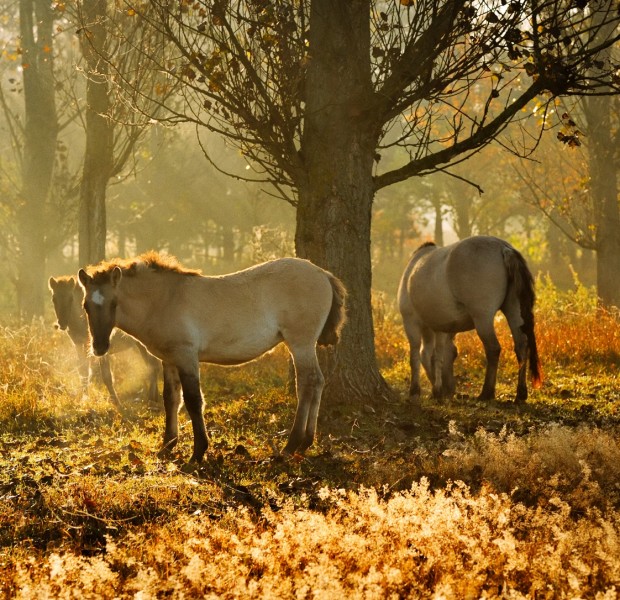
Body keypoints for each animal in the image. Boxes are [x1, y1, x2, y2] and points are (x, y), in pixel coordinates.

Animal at [49, 276, 160, 408]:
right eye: (54, 299)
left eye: (71, 299)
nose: (62, 324)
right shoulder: (79, 345)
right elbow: (84, 372)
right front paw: (84, 399)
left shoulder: (101, 349)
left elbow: (106, 376)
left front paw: (117, 403)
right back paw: (155, 398)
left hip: (141, 345)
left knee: (153, 366)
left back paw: (151, 400)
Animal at [75, 251, 346, 466]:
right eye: (86, 305)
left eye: (114, 303)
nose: (99, 347)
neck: (165, 300)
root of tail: (322, 273)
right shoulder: (169, 360)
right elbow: (171, 399)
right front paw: (167, 446)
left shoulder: (186, 356)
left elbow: (194, 401)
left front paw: (197, 453)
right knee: (317, 381)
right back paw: (306, 442)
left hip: (300, 343)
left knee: (308, 383)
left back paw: (291, 445)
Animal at [400, 237, 540, 406]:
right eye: (455, 356)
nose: (450, 390)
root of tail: (503, 247)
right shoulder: (440, 327)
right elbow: (433, 354)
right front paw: (436, 388)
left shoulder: (411, 321)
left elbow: (417, 355)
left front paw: (417, 390)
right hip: (514, 310)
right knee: (521, 346)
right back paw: (520, 394)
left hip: (482, 318)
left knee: (493, 348)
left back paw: (486, 392)